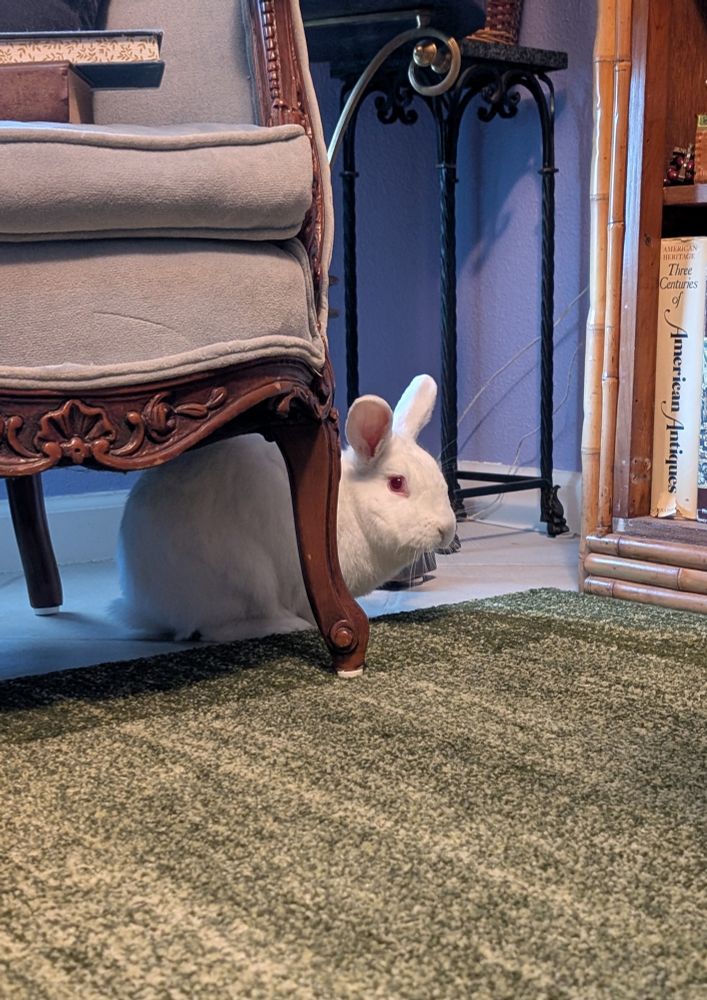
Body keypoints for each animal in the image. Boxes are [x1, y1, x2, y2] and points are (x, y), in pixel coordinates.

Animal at [115, 373, 457, 642]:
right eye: (397, 483)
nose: (446, 528)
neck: (351, 507)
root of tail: (145, 604)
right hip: (244, 576)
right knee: (214, 628)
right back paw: (288, 625)